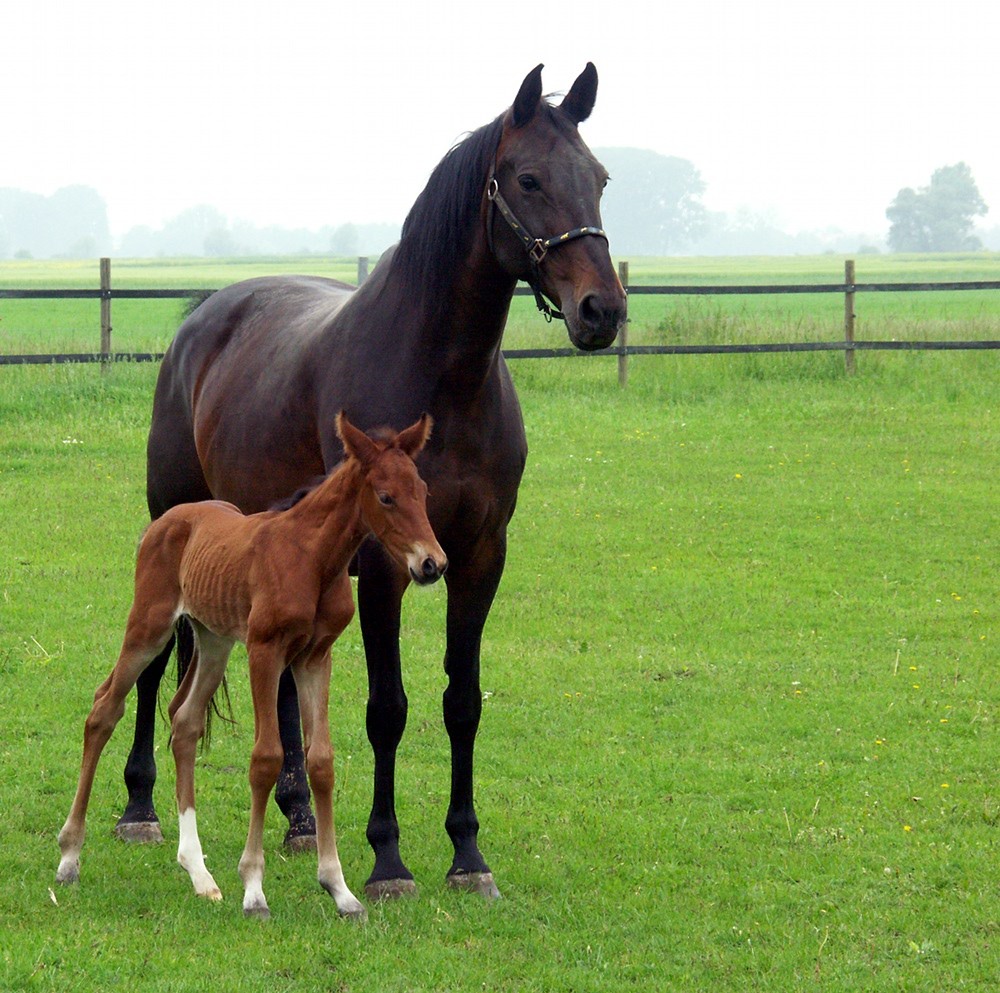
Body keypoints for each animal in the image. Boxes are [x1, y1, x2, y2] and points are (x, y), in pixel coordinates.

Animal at [56, 408, 444, 916]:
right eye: (386, 497)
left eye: (423, 492)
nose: (433, 564)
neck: (313, 558)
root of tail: (167, 519)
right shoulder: (265, 649)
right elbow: (266, 758)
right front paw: (254, 888)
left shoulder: (315, 657)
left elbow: (321, 761)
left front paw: (339, 889)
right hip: (149, 626)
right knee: (104, 709)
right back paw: (69, 857)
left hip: (214, 640)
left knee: (185, 721)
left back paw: (199, 873)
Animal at [111, 60, 624, 900]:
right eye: (528, 178)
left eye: (600, 179)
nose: (601, 310)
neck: (443, 378)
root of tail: (203, 317)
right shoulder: (386, 563)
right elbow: (389, 706)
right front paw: (387, 859)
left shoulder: (479, 556)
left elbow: (461, 701)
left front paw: (467, 853)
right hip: (173, 528)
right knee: (158, 661)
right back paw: (139, 807)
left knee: (280, 683)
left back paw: (295, 815)